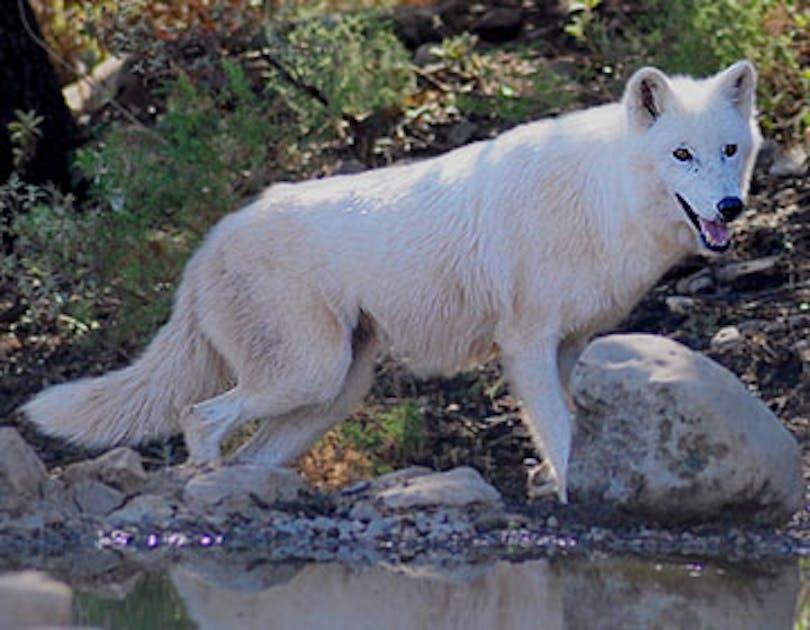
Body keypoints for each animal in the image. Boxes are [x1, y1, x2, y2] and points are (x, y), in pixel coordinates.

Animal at [23, 61, 760, 502]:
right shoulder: (526, 347)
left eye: (730, 150)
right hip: (310, 375)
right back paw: (205, 486)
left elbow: (572, 428)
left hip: (331, 394)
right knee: (197, 415)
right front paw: (573, 498)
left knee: (249, 449)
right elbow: (559, 431)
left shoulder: (571, 347)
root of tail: (206, 248)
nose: (730, 208)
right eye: (681, 155)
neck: (601, 197)